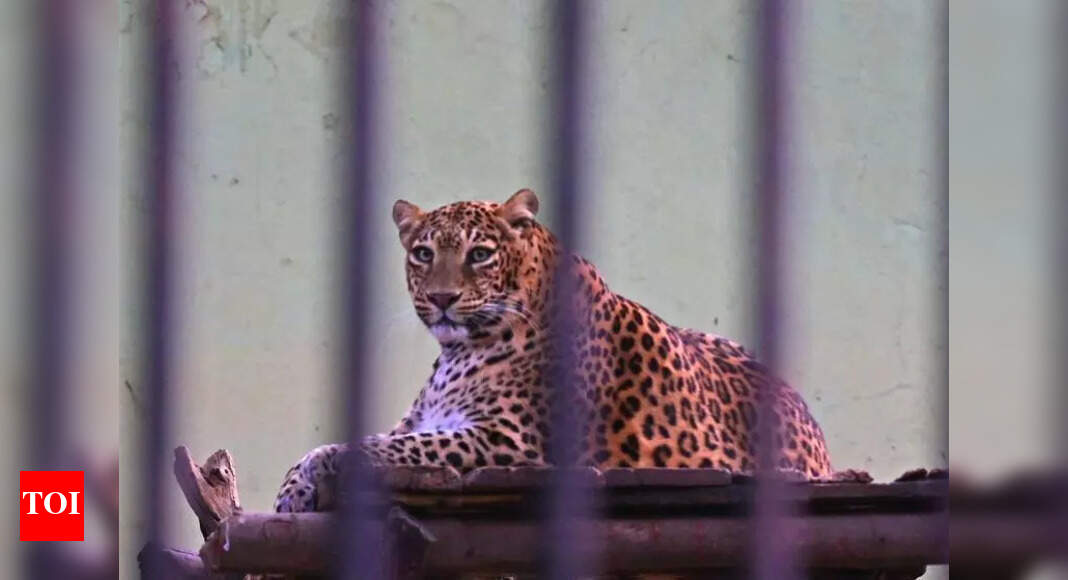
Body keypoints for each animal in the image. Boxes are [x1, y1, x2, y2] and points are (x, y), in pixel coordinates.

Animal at [273, 188, 832, 514]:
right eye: (423, 254)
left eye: (480, 254)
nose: (442, 298)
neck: (459, 354)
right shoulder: (422, 422)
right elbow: (357, 442)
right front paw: (291, 491)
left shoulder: (510, 442)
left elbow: (378, 448)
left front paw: (318, 470)